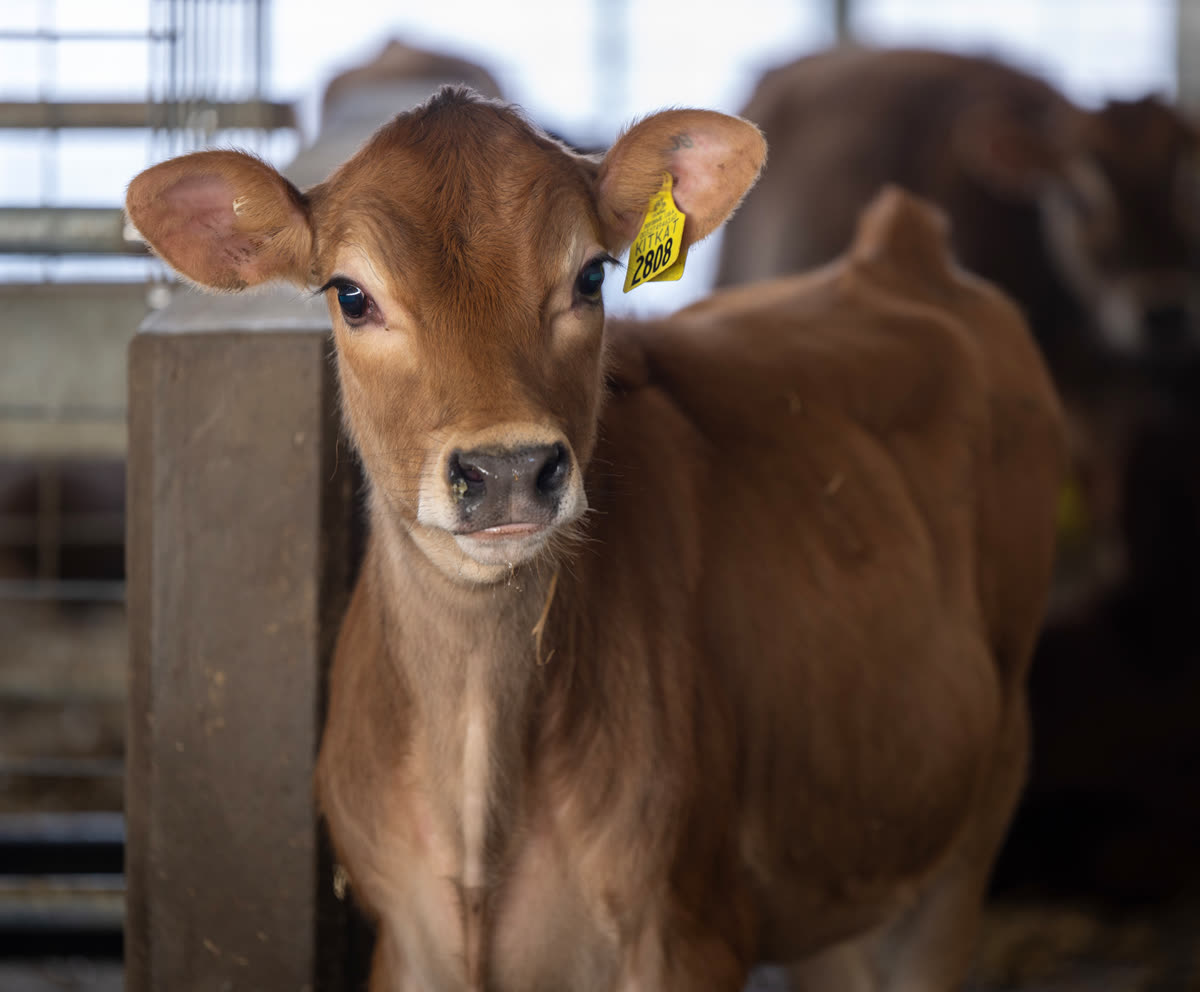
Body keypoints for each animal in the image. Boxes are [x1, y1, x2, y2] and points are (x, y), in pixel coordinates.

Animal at [126, 87, 1063, 991]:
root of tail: (897, 248)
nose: (507, 468)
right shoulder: (406, 947)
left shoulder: (687, 936)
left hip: (971, 830)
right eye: (352, 295)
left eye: (588, 277)